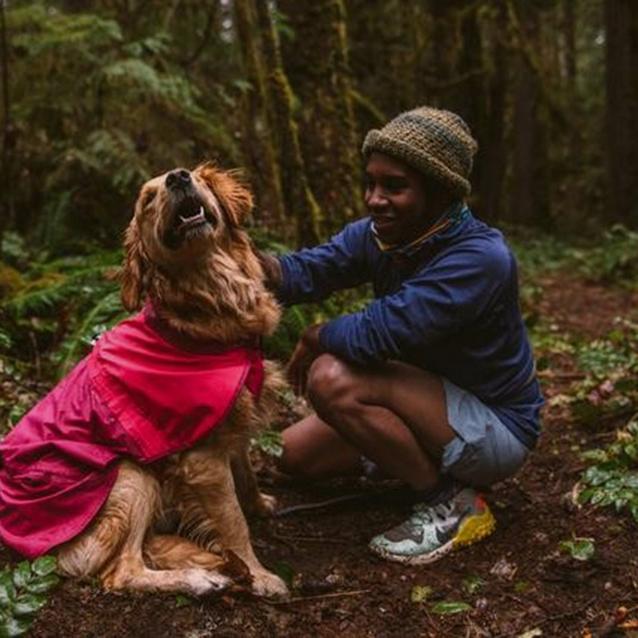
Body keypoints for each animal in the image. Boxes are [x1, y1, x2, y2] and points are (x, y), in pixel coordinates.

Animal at [0, 164, 288, 600]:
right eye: (148, 200)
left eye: (192, 177)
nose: (178, 177)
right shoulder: (201, 458)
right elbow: (233, 522)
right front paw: (260, 576)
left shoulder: (230, 421)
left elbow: (245, 473)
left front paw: (259, 504)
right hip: (128, 473)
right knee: (119, 572)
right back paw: (199, 578)